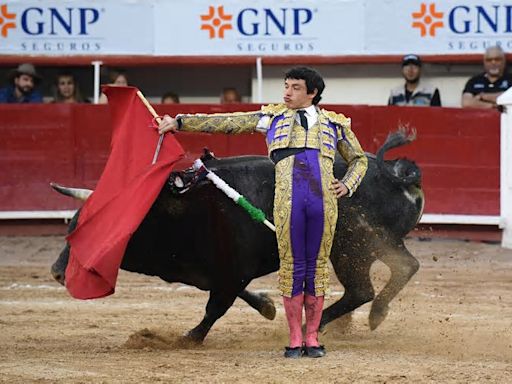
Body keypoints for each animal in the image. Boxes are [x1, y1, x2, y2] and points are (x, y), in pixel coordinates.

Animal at [50, 130, 422, 342]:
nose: (57, 273)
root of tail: (391, 172)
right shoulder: (215, 270)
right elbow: (230, 293)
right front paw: (268, 307)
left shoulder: (233, 269)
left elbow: (217, 305)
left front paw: (189, 337)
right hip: (375, 245)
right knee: (404, 267)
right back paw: (370, 316)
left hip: (349, 249)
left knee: (363, 288)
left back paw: (316, 326)